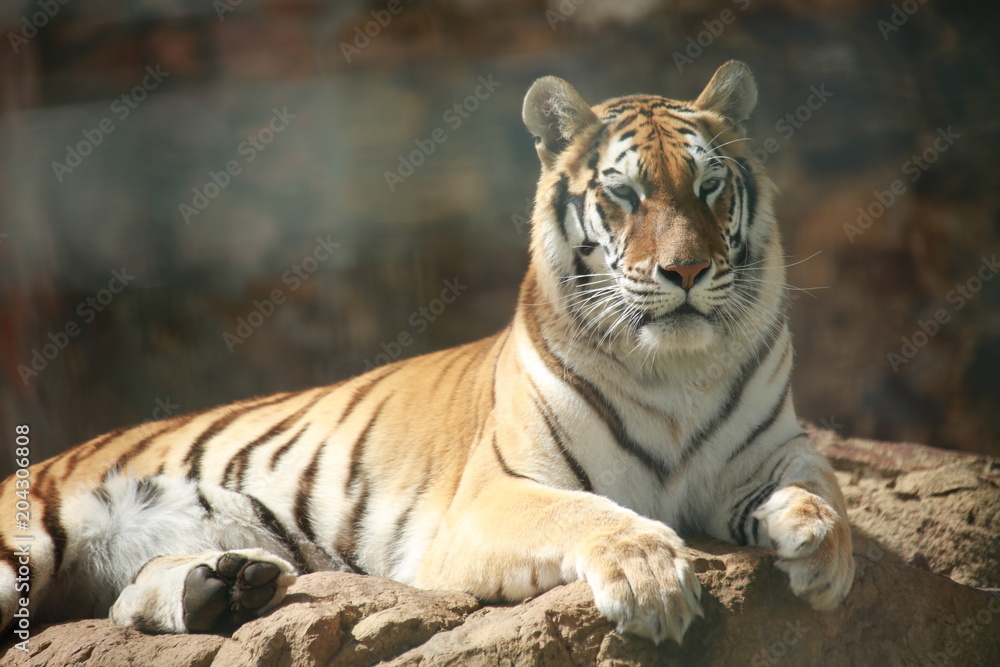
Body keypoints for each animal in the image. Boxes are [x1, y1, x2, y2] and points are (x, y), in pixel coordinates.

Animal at [0, 61, 854, 646]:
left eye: (710, 187)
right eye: (624, 193)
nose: (686, 270)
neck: (676, 369)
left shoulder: (771, 448)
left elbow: (824, 486)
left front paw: (824, 550)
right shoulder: (494, 494)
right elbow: (593, 513)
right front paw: (652, 580)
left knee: (123, 598)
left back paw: (227, 586)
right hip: (28, 537)